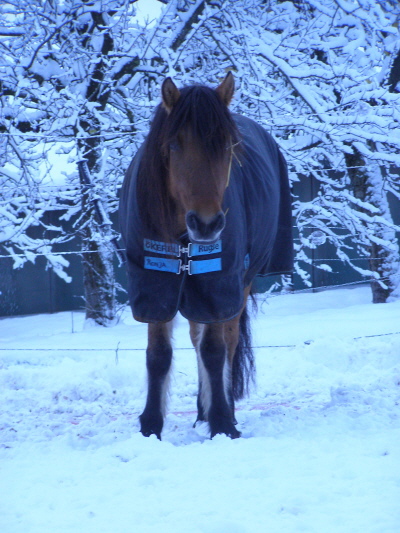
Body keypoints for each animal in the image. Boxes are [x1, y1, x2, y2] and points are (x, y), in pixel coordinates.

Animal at [119, 72, 294, 438]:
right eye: (173, 145)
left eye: (227, 145)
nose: (207, 223)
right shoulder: (155, 285)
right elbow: (158, 355)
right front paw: (151, 426)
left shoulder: (218, 284)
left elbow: (214, 350)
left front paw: (223, 424)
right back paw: (202, 412)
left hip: (237, 284)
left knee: (226, 343)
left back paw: (220, 410)